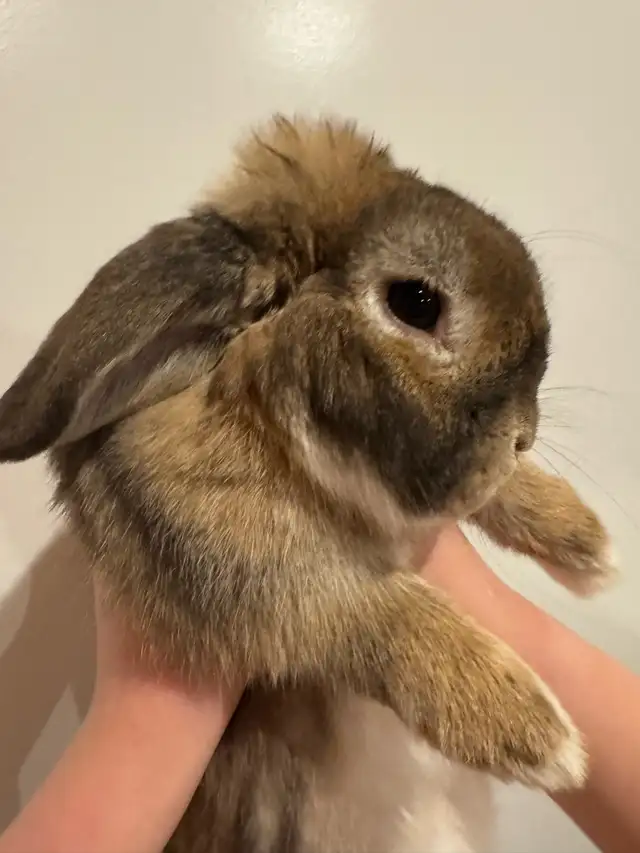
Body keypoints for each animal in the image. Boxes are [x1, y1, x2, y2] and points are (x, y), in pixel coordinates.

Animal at [0, 115, 617, 853]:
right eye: (416, 303)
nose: (523, 432)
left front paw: (588, 545)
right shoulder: (239, 560)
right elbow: (377, 610)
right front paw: (536, 732)